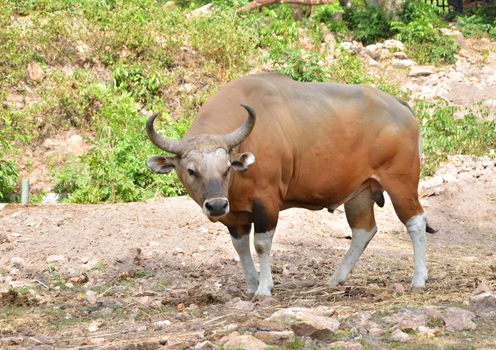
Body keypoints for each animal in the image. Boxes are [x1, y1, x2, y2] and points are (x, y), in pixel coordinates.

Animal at [147, 72, 434, 300]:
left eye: (226, 167)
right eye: (191, 170)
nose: (216, 205)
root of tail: (400, 106)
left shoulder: (266, 202)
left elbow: (261, 244)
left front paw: (264, 289)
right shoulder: (235, 215)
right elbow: (240, 248)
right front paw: (251, 285)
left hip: (401, 181)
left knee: (415, 221)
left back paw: (419, 279)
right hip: (360, 191)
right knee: (364, 230)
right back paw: (336, 278)